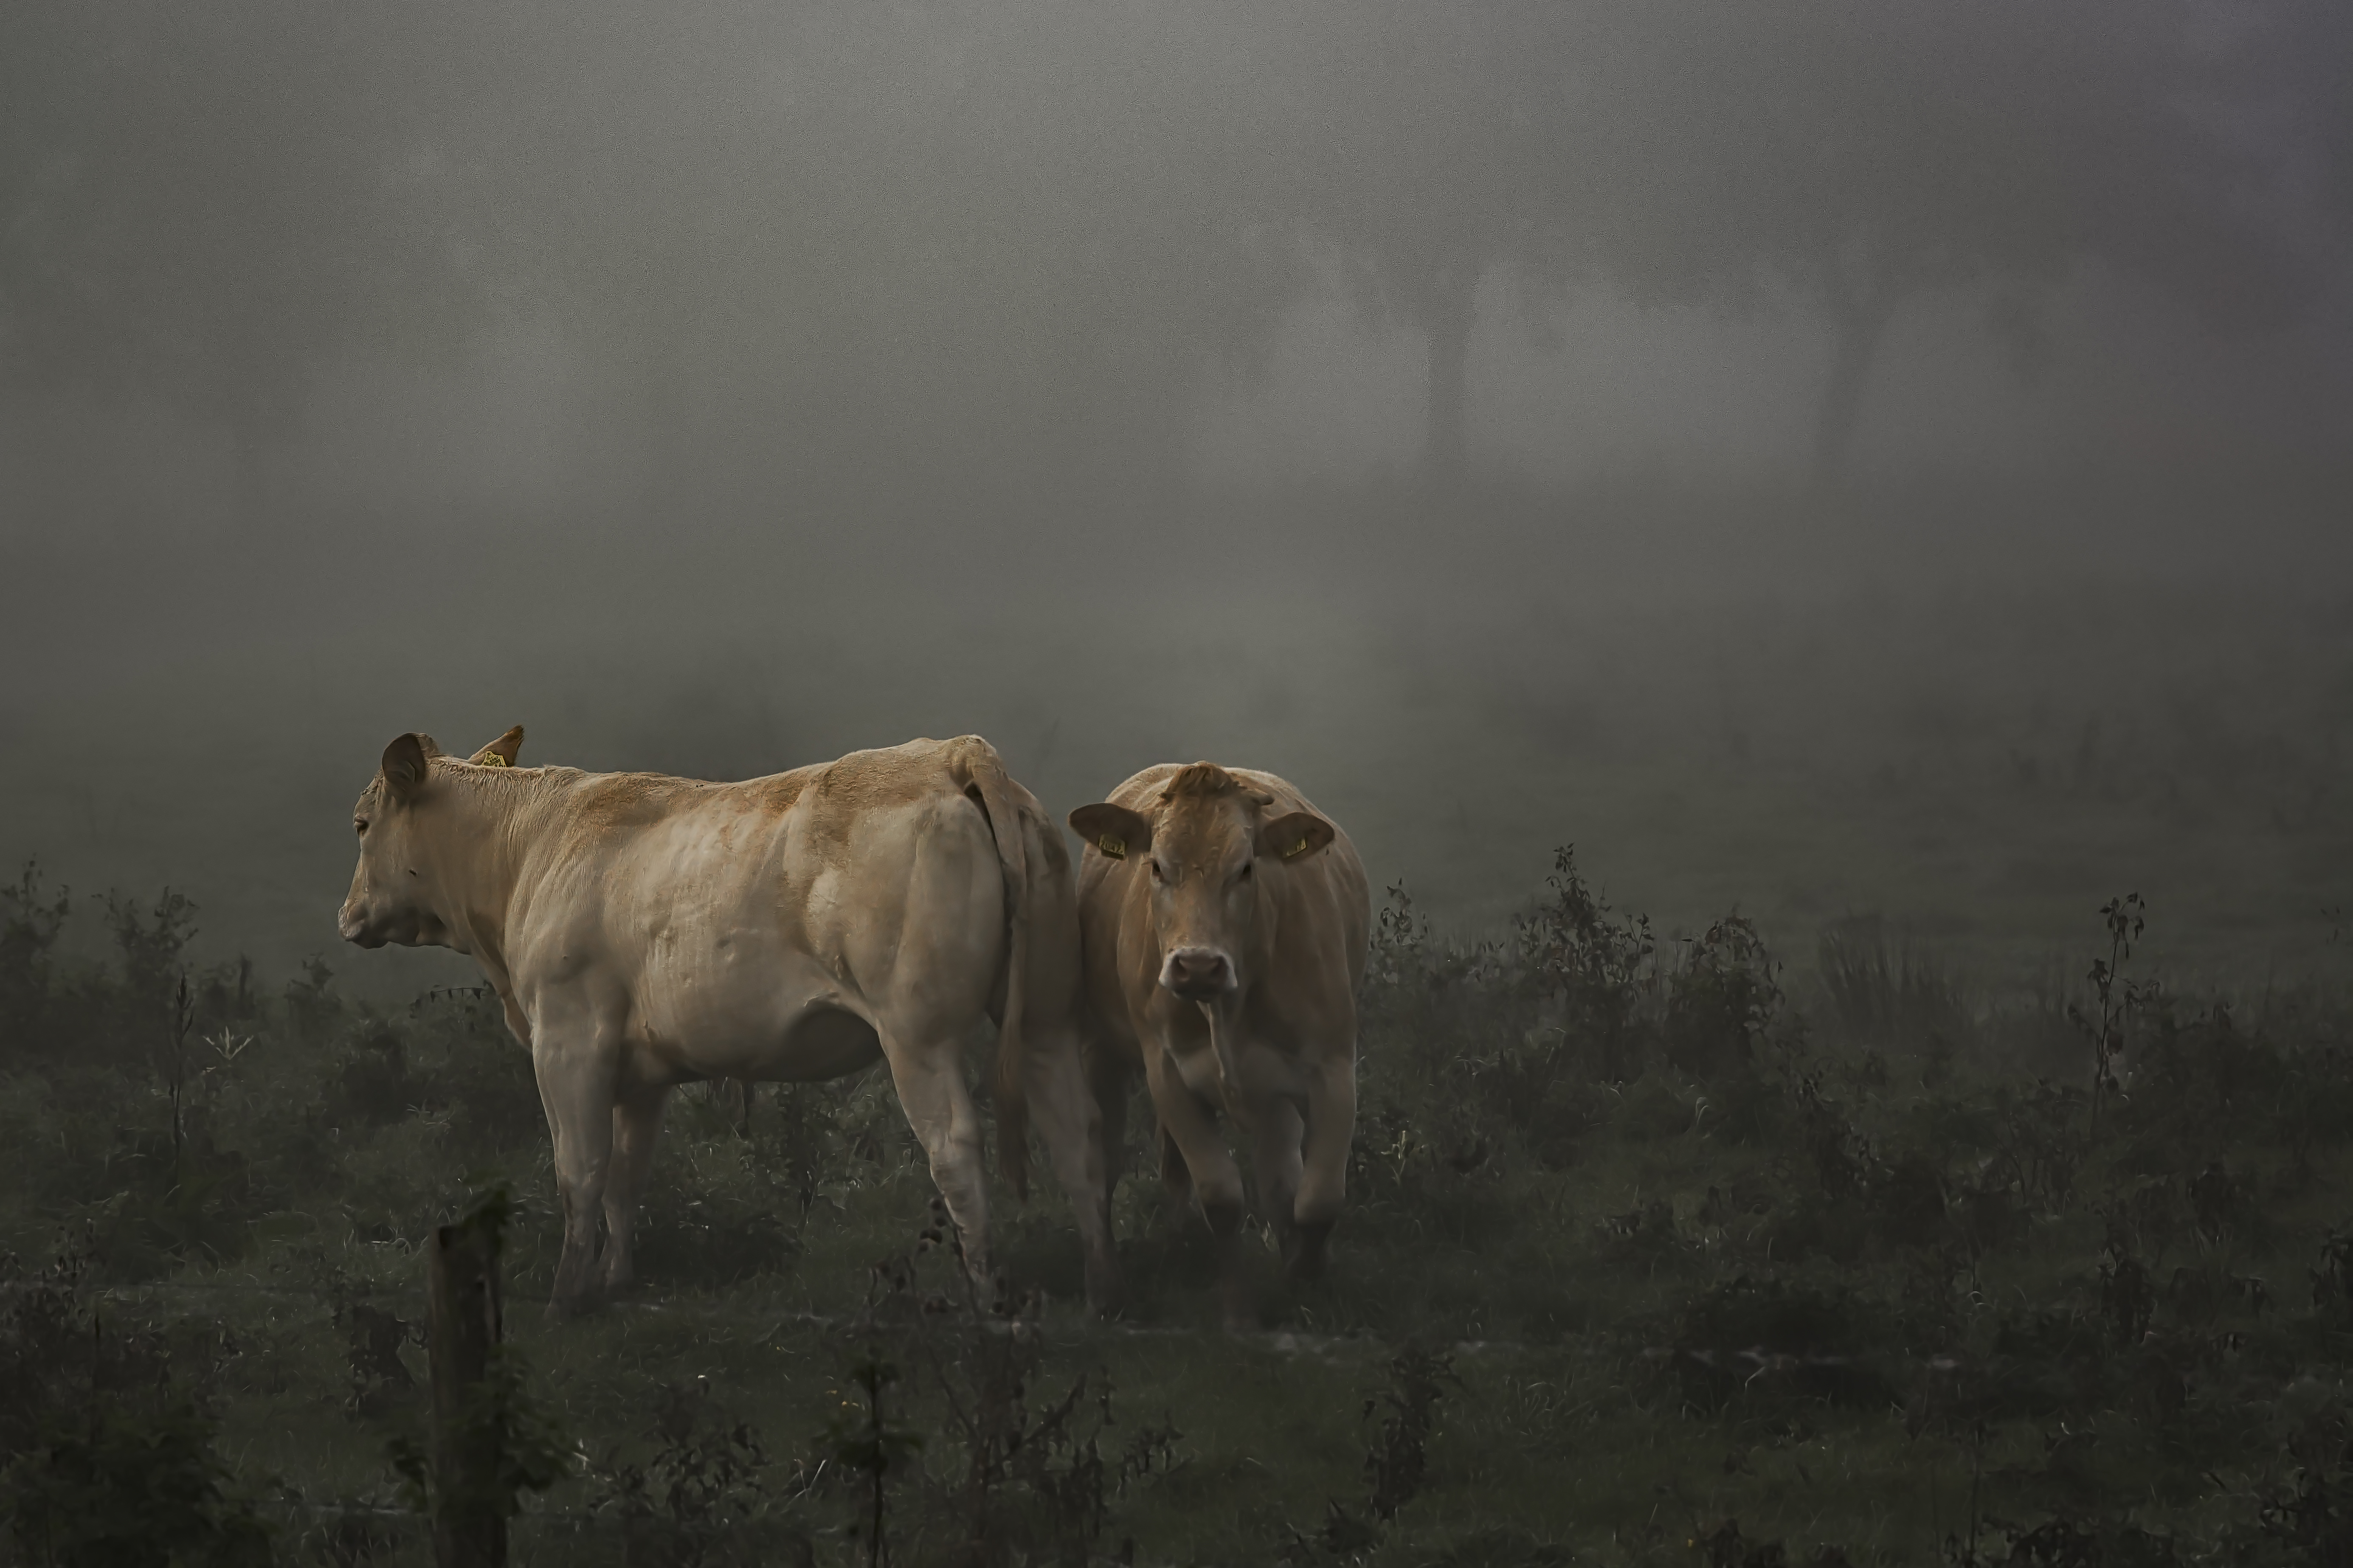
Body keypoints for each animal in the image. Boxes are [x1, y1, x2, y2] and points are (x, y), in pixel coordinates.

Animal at [338, 725, 1114, 1317]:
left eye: (362, 823)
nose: (346, 915)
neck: (529, 843)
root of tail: (949, 753)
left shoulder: (567, 1039)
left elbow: (579, 1172)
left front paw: (566, 1297)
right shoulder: (639, 1073)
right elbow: (625, 1176)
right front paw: (614, 1279)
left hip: (918, 1034)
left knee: (956, 1150)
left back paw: (985, 1299)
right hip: (1048, 1017)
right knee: (1077, 1136)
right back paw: (1098, 1279)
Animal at [1067, 762, 1368, 1328]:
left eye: (1246, 868)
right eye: (1157, 867)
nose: (1198, 965)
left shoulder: (1333, 1067)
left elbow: (1316, 1197)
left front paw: (1303, 1275)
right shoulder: (1168, 1073)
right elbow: (1222, 1195)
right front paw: (1238, 1309)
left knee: (1277, 1176)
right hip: (1100, 1050)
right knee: (1102, 1163)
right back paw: (1107, 1288)